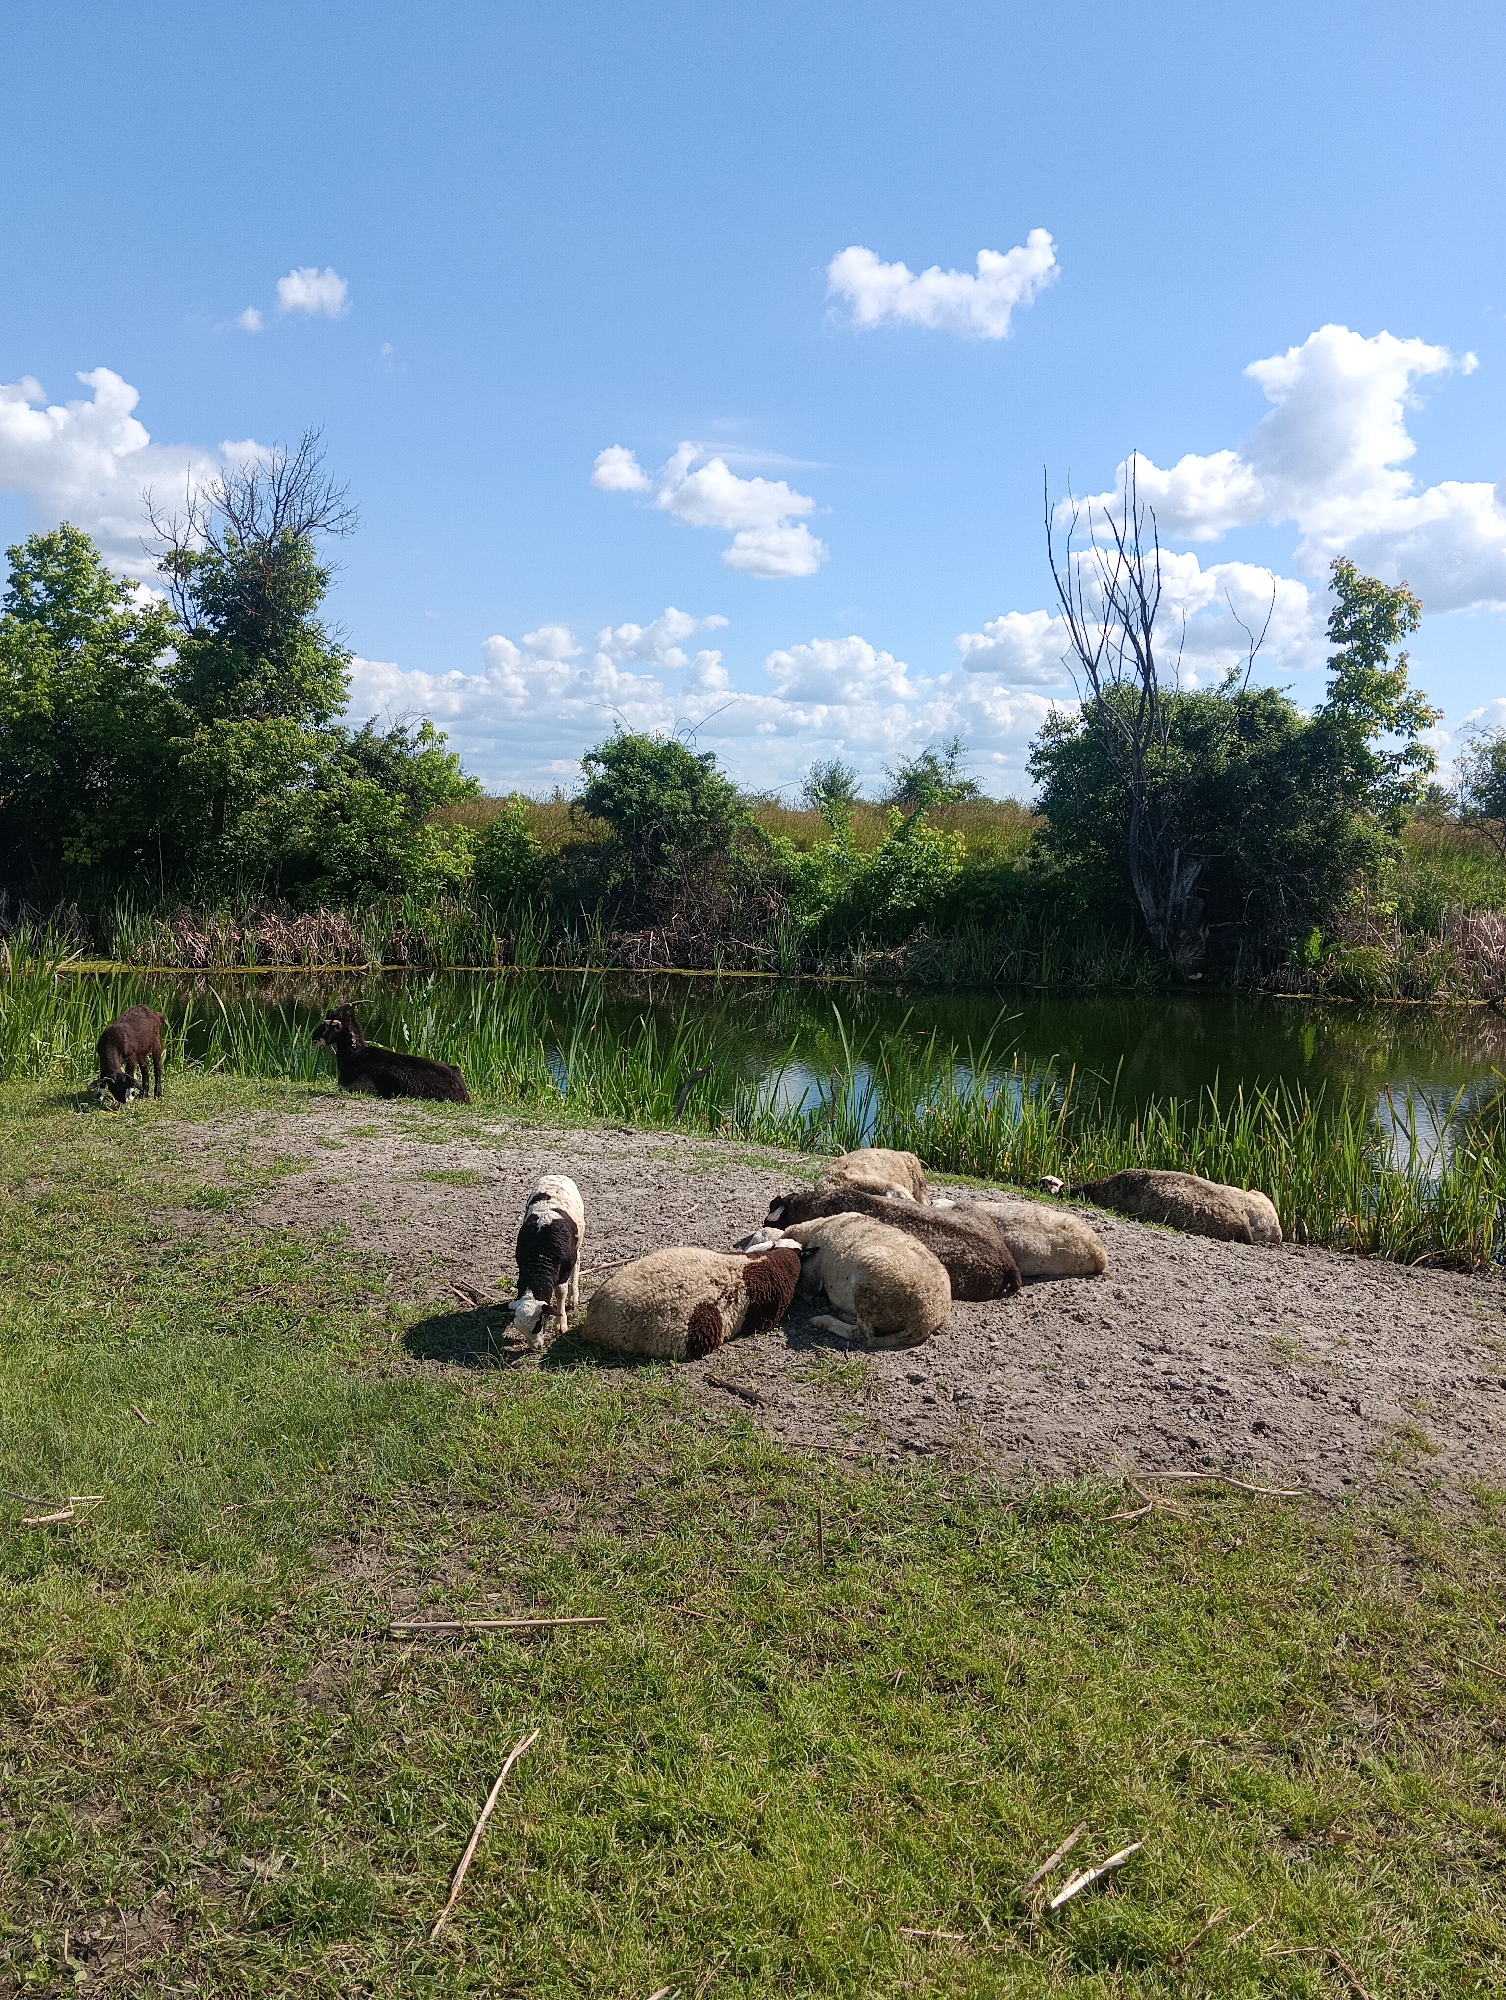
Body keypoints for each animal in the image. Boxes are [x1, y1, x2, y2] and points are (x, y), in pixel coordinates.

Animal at [510, 1174, 585, 1347]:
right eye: (520, 1329)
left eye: (539, 1324)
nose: (535, 1347)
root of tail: (556, 1175)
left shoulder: (564, 1270)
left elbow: (560, 1292)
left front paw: (561, 1324)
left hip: (578, 1241)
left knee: (577, 1261)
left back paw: (574, 1296)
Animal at [780, 1213, 951, 1350]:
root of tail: (925, 1321)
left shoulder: (812, 1273)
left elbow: (804, 1290)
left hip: (868, 1288)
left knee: (862, 1335)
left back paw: (823, 1320)